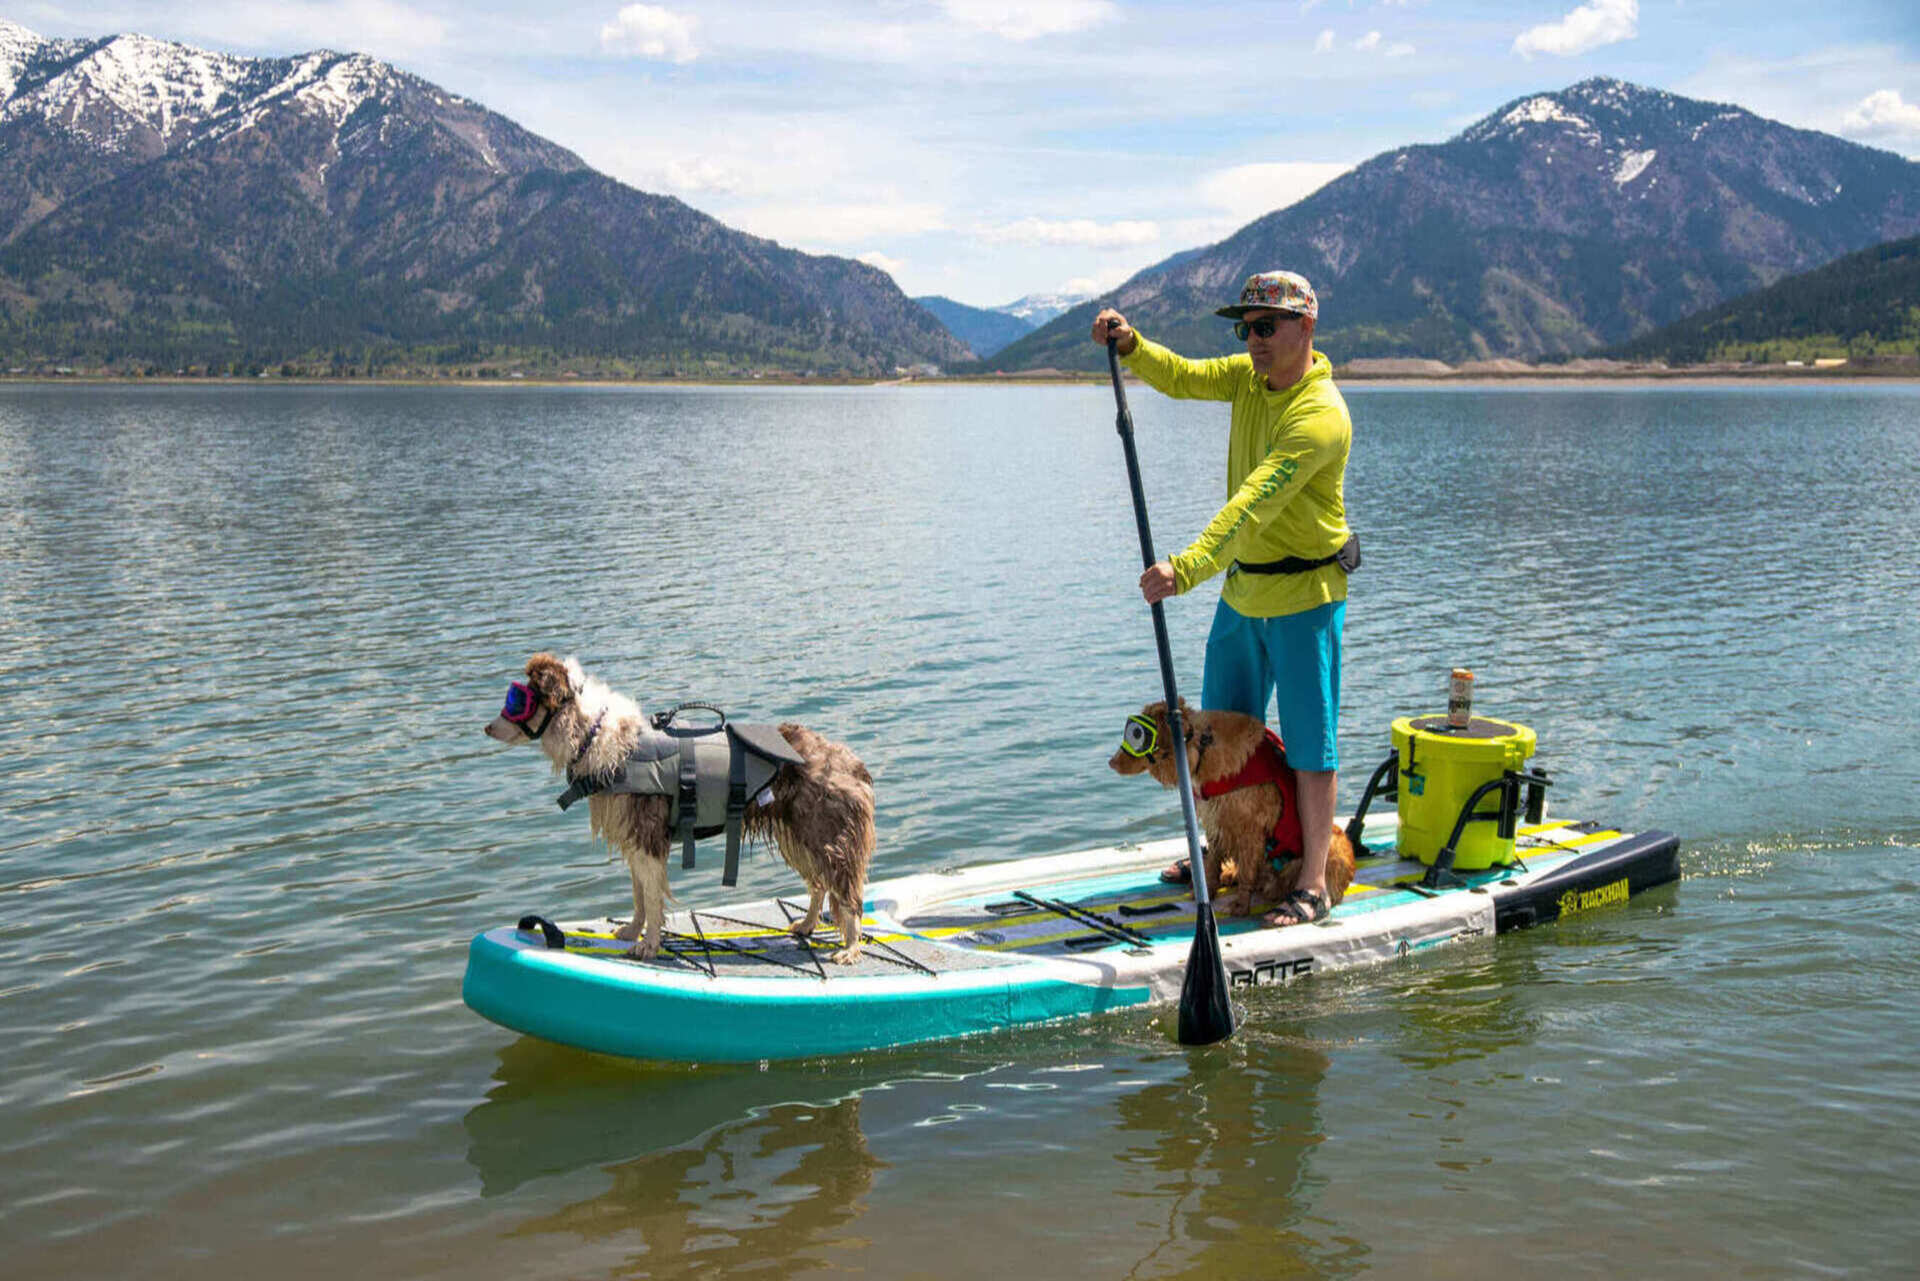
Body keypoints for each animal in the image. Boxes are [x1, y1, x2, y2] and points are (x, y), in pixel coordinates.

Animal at [487, 656, 879, 967]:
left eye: (517, 700)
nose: (486, 727)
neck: (593, 734)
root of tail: (852, 762)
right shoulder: (635, 838)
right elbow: (638, 896)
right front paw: (632, 931)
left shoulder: (647, 838)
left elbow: (652, 899)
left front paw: (648, 946)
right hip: (796, 835)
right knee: (819, 884)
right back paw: (808, 924)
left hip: (826, 836)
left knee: (848, 894)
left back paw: (850, 948)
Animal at [1105, 702, 1359, 921]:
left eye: (1137, 735)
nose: (1110, 762)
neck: (1202, 748)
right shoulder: (1216, 822)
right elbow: (1212, 862)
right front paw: (1207, 889)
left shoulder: (1249, 829)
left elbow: (1246, 872)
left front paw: (1239, 905)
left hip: (1329, 848)